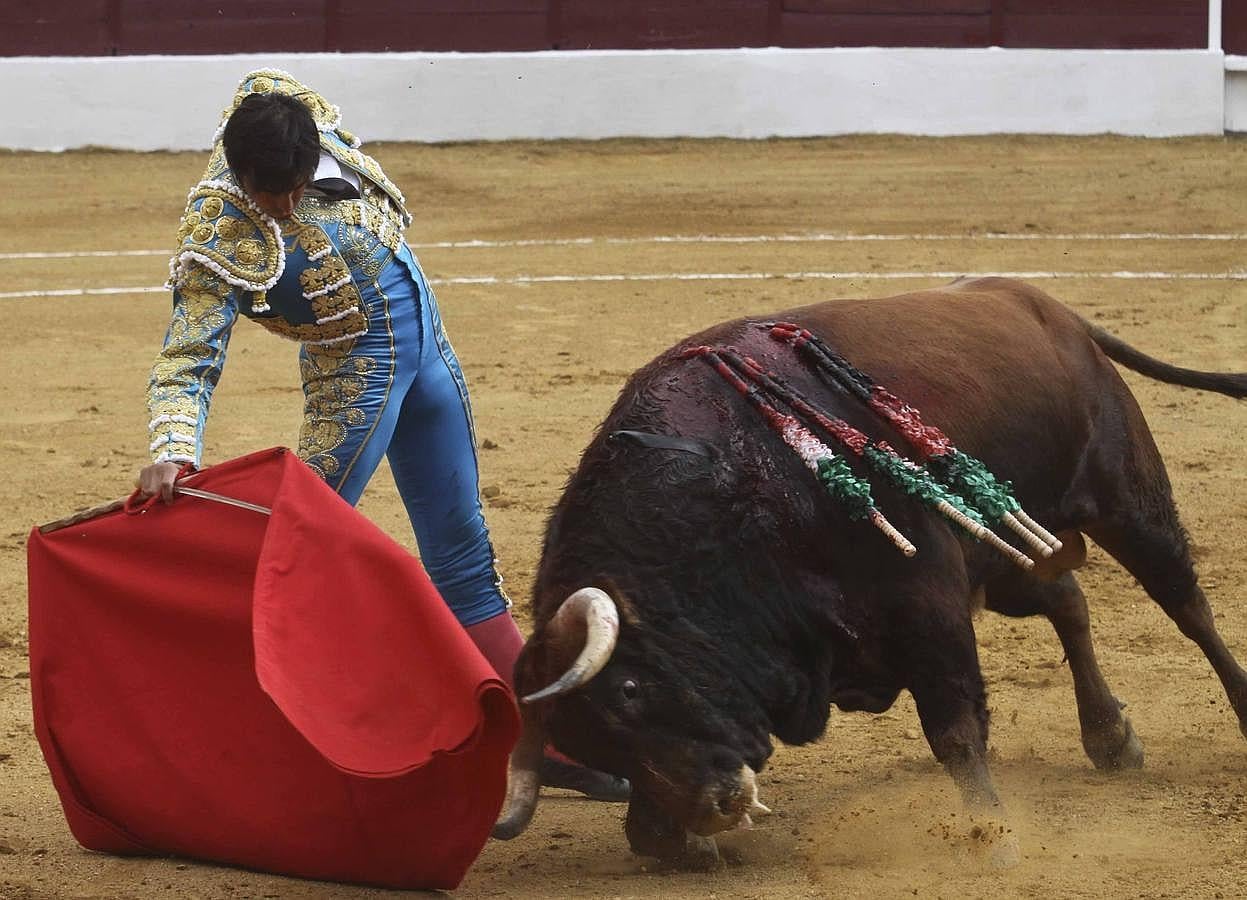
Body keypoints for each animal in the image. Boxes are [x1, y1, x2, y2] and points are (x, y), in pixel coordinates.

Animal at [491, 275, 1242, 862]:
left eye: (627, 691)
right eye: (589, 743)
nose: (714, 806)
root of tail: (1048, 308)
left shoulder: (927, 603)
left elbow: (954, 730)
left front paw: (992, 836)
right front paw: (672, 838)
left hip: (1127, 499)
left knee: (1185, 604)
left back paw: (1231, 706)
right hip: (1009, 548)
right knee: (1068, 601)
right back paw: (1110, 737)